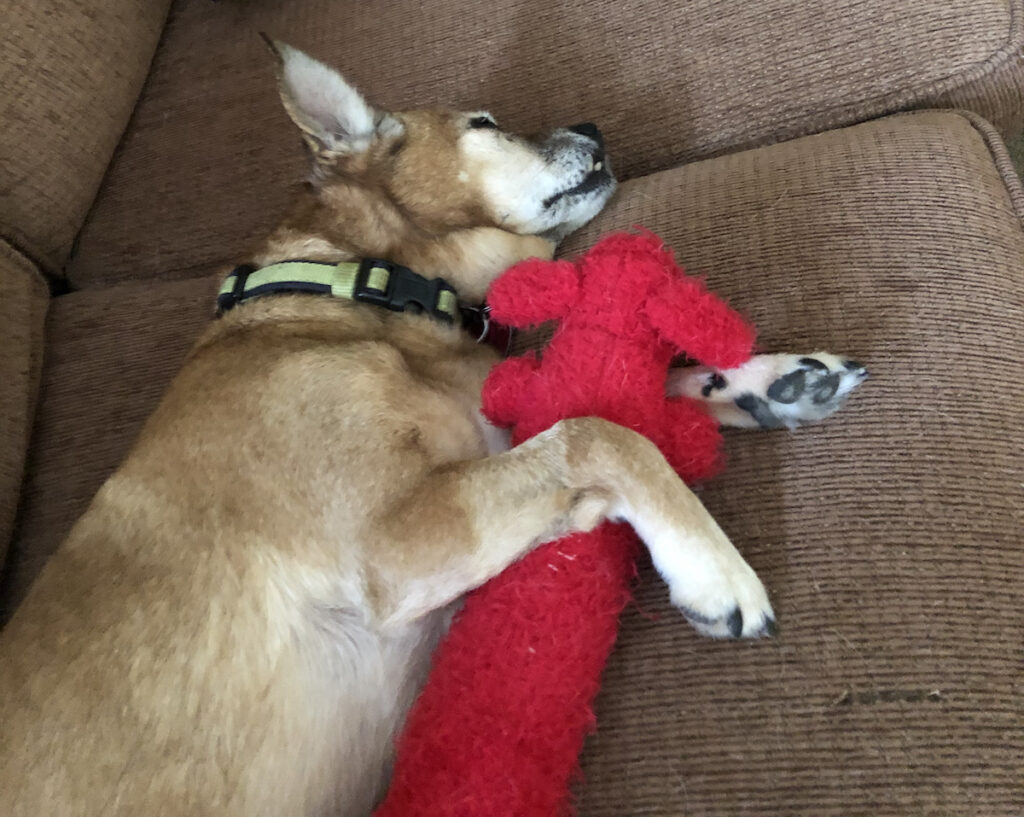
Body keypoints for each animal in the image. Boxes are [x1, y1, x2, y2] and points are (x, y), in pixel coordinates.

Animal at [0, 41, 864, 817]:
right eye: (483, 123)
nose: (593, 125)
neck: (365, 291)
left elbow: (629, 401)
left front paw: (767, 379)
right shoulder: (399, 539)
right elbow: (602, 433)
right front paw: (712, 568)